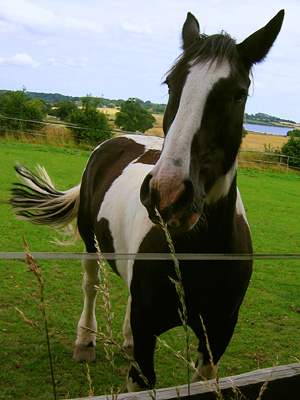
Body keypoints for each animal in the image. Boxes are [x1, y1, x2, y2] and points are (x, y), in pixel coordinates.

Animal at [9, 10, 284, 392]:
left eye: (238, 94)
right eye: (170, 84)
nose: (168, 193)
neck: (198, 254)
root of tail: (114, 142)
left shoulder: (217, 334)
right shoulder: (146, 335)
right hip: (91, 245)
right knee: (91, 284)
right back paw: (86, 341)